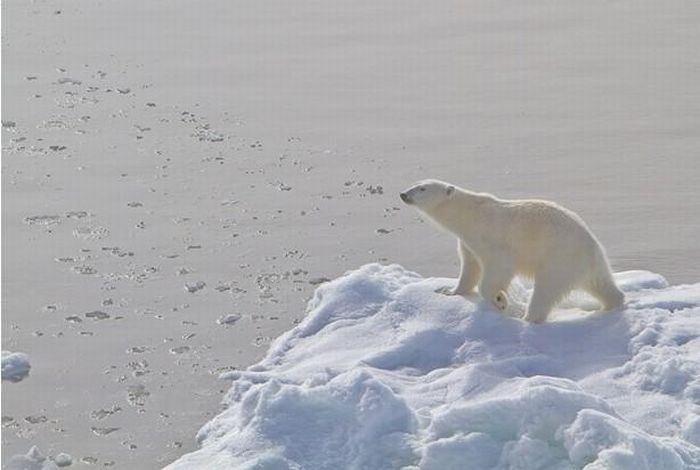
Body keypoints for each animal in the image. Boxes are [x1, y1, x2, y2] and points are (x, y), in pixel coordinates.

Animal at [400, 180, 624, 324]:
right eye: (416, 183)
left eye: (422, 188)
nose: (403, 194)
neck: (469, 214)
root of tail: (592, 245)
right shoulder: (467, 241)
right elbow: (469, 267)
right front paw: (450, 291)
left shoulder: (488, 235)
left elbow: (498, 266)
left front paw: (500, 300)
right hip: (587, 263)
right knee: (601, 284)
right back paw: (612, 303)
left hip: (558, 257)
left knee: (545, 290)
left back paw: (527, 319)